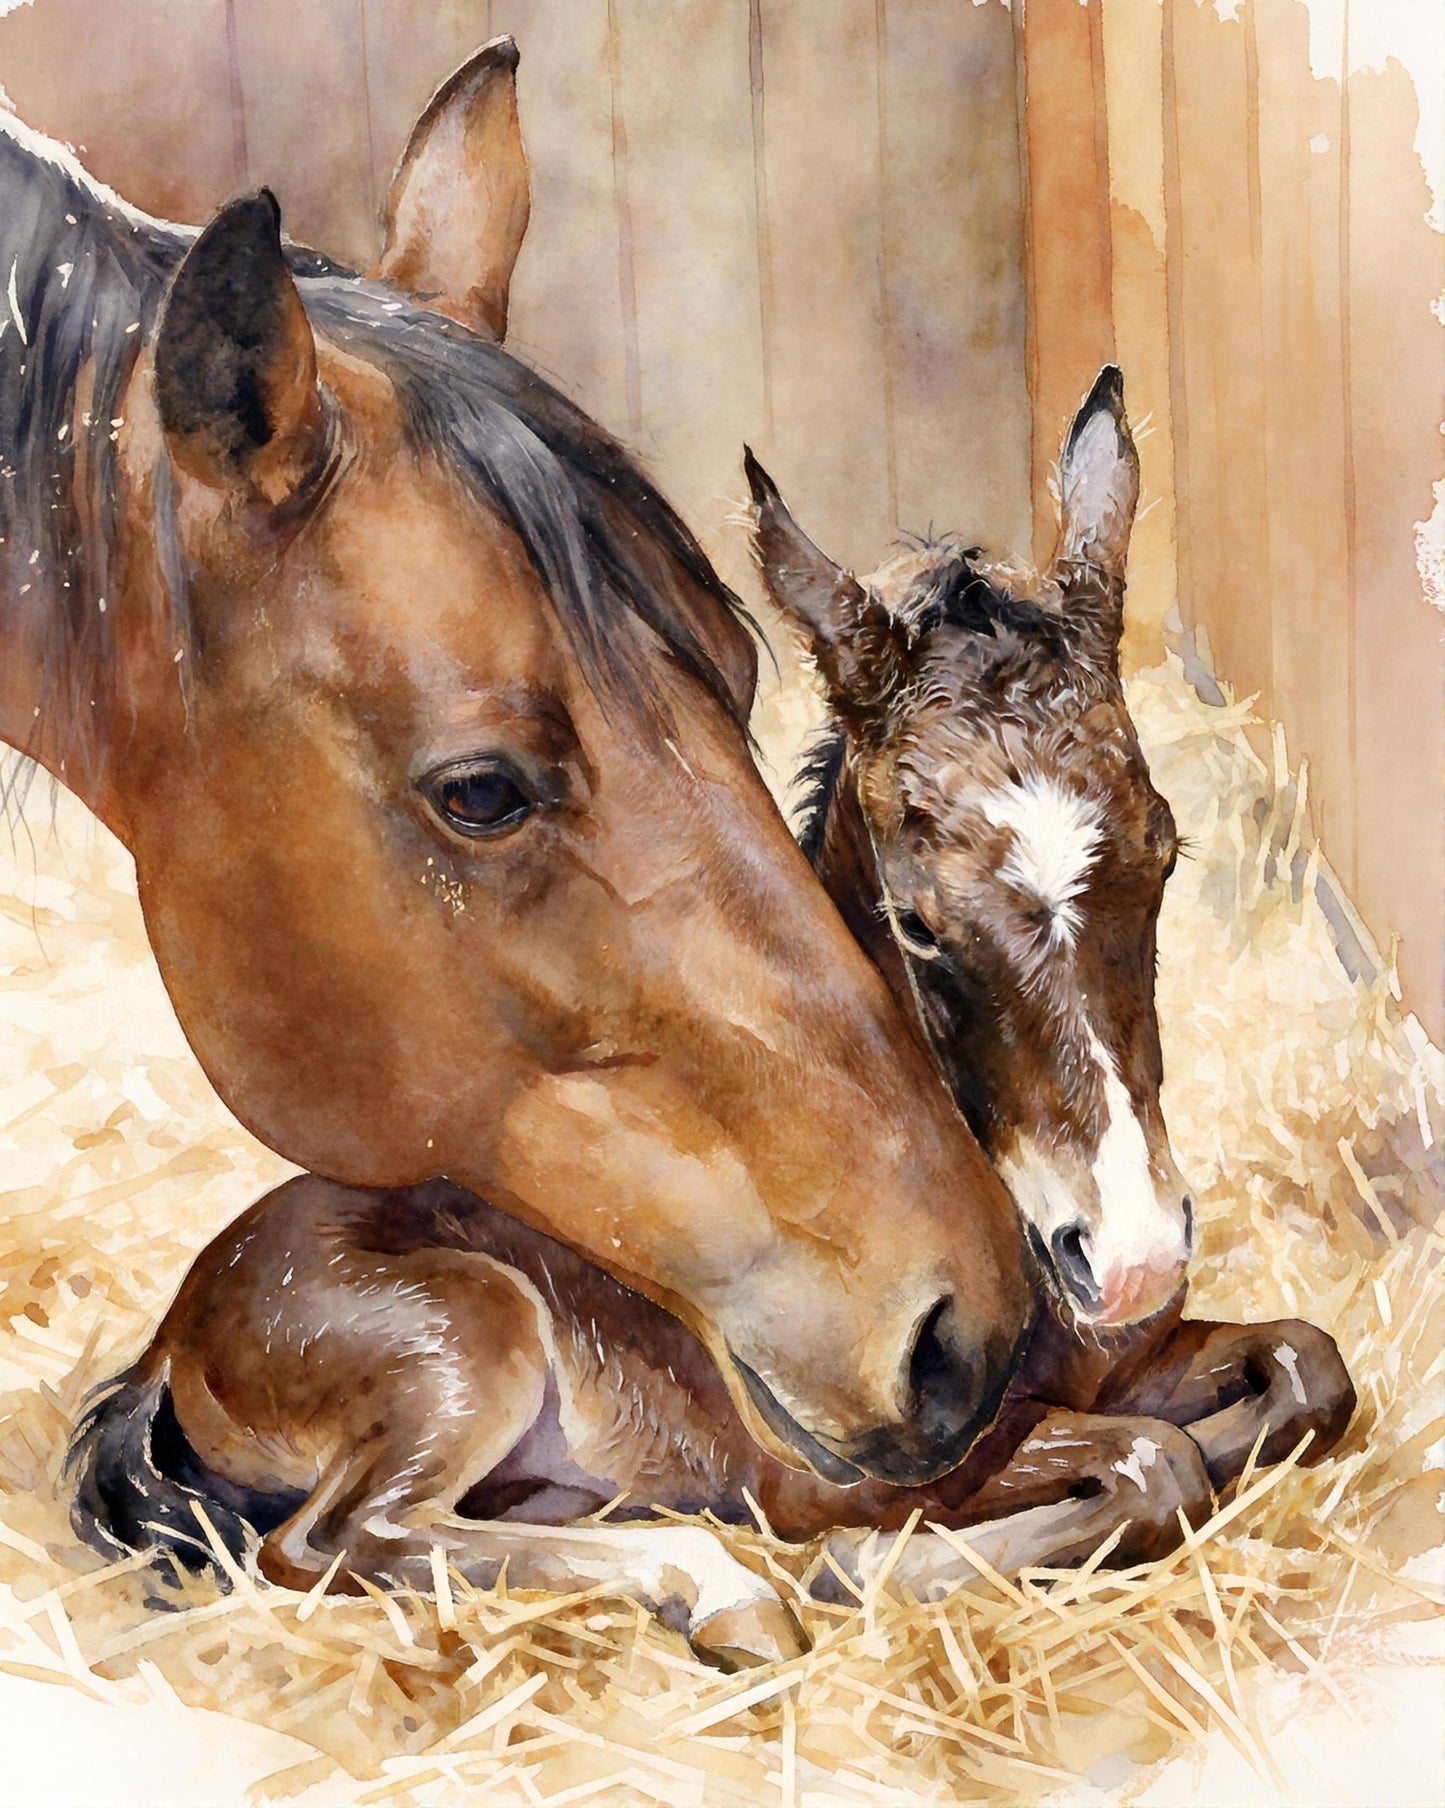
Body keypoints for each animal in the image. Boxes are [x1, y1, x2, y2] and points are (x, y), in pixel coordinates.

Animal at [70, 370, 1351, 1670]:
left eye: (1163, 848)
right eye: (916, 919)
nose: (1133, 1254)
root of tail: (171, 1333)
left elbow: (1307, 1368)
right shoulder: (857, 1461)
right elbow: (1151, 1463)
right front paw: (865, 1568)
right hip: (463, 1340)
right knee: (331, 1538)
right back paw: (724, 1589)